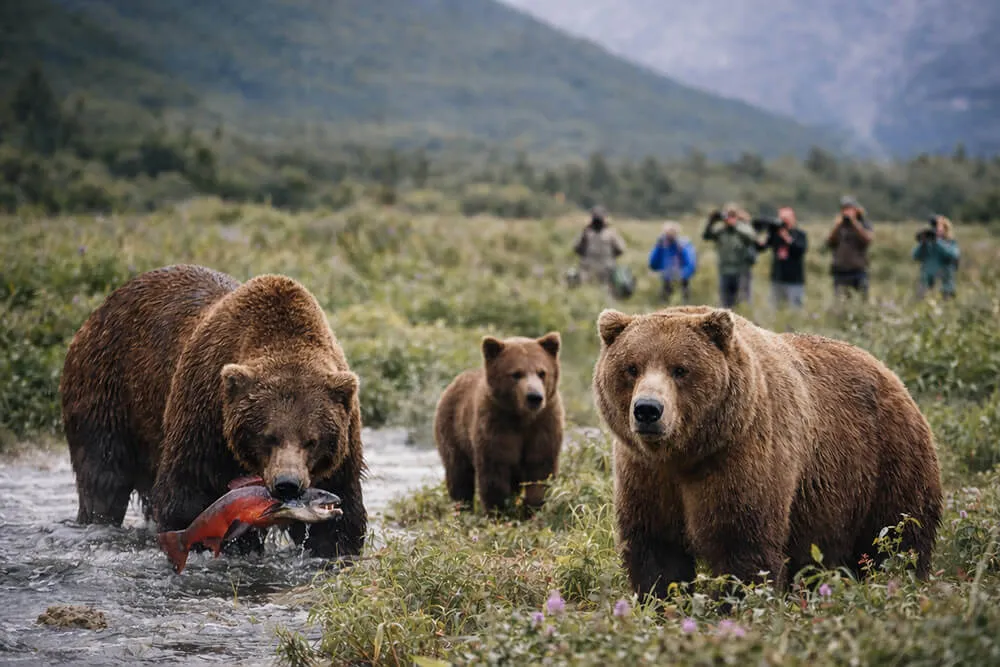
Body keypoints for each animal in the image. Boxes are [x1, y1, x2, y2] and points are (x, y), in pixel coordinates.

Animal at [60, 264, 367, 559]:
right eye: (268, 436)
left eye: (311, 440)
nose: (287, 483)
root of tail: (102, 307)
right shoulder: (206, 418)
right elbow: (189, 496)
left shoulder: (343, 445)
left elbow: (341, 516)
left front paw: (334, 549)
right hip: (108, 391)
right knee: (103, 477)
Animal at [434, 333, 564, 513]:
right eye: (516, 373)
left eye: (542, 372)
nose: (534, 397)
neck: (522, 417)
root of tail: (453, 383)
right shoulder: (496, 425)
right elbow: (494, 473)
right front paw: (499, 510)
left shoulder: (545, 424)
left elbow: (541, 470)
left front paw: (532, 507)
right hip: (453, 430)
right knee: (459, 474)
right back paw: (462, 507)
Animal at [592, 305, 942, 599]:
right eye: (631, 368)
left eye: (680, 369)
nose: (647, 410)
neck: (685, 454)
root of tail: (892, 376)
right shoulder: (645, 474)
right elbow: (656, 550)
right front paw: (661, 601)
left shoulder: (742, 458)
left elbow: (742, 543)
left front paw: (735, 605)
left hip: (887, 466)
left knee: (899, 540)